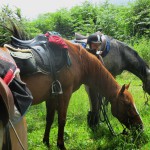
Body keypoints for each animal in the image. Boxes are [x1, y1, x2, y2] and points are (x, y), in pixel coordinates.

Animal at [0, 34, 143, 149]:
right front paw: (61, 145)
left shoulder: (52, 96)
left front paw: (46, 142)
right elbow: (62, 119)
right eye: (128, 105)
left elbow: (49, 119)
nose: (140, 127)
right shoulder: (65, 93)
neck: (78, 60)